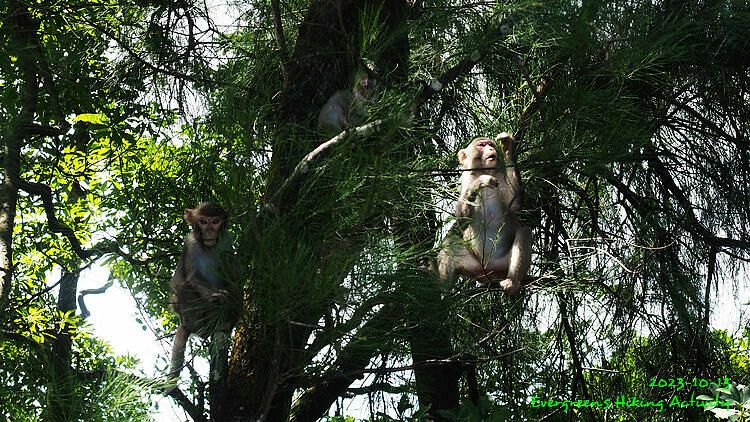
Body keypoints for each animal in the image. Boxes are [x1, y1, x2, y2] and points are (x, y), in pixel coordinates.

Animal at [167, 202, 239, 386]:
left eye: (215, 221)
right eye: (203, 221)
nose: (210, 232)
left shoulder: (226, 240)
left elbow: (234, 276)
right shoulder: (191, 243)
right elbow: (192, 279)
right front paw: (216, 296)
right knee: (184, 287)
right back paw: (199, 327)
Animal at [433, 133, 532, 295]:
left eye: (490, 144)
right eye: (481, 145)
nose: (491, 149)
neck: (483, 170)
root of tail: (490, 273)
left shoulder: (499, 175)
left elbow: (515, 203)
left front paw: (507, 147)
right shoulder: (465, 180)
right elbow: (462, 220)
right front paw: (480, 183)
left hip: (503, 265)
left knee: (525, 232)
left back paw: (512, 281)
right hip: (475, 268)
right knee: (449, 243)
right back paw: (443, 288)